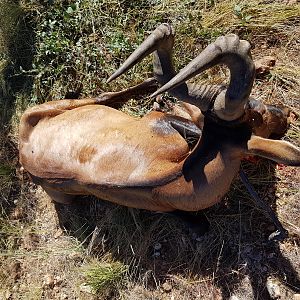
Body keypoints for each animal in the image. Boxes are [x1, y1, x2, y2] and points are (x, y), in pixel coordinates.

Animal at [19, 24, 300, 216]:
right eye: (253, 111)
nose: (286, 114)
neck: (164, 180)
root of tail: (23, 149)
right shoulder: (161, 121)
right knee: (105, 94)